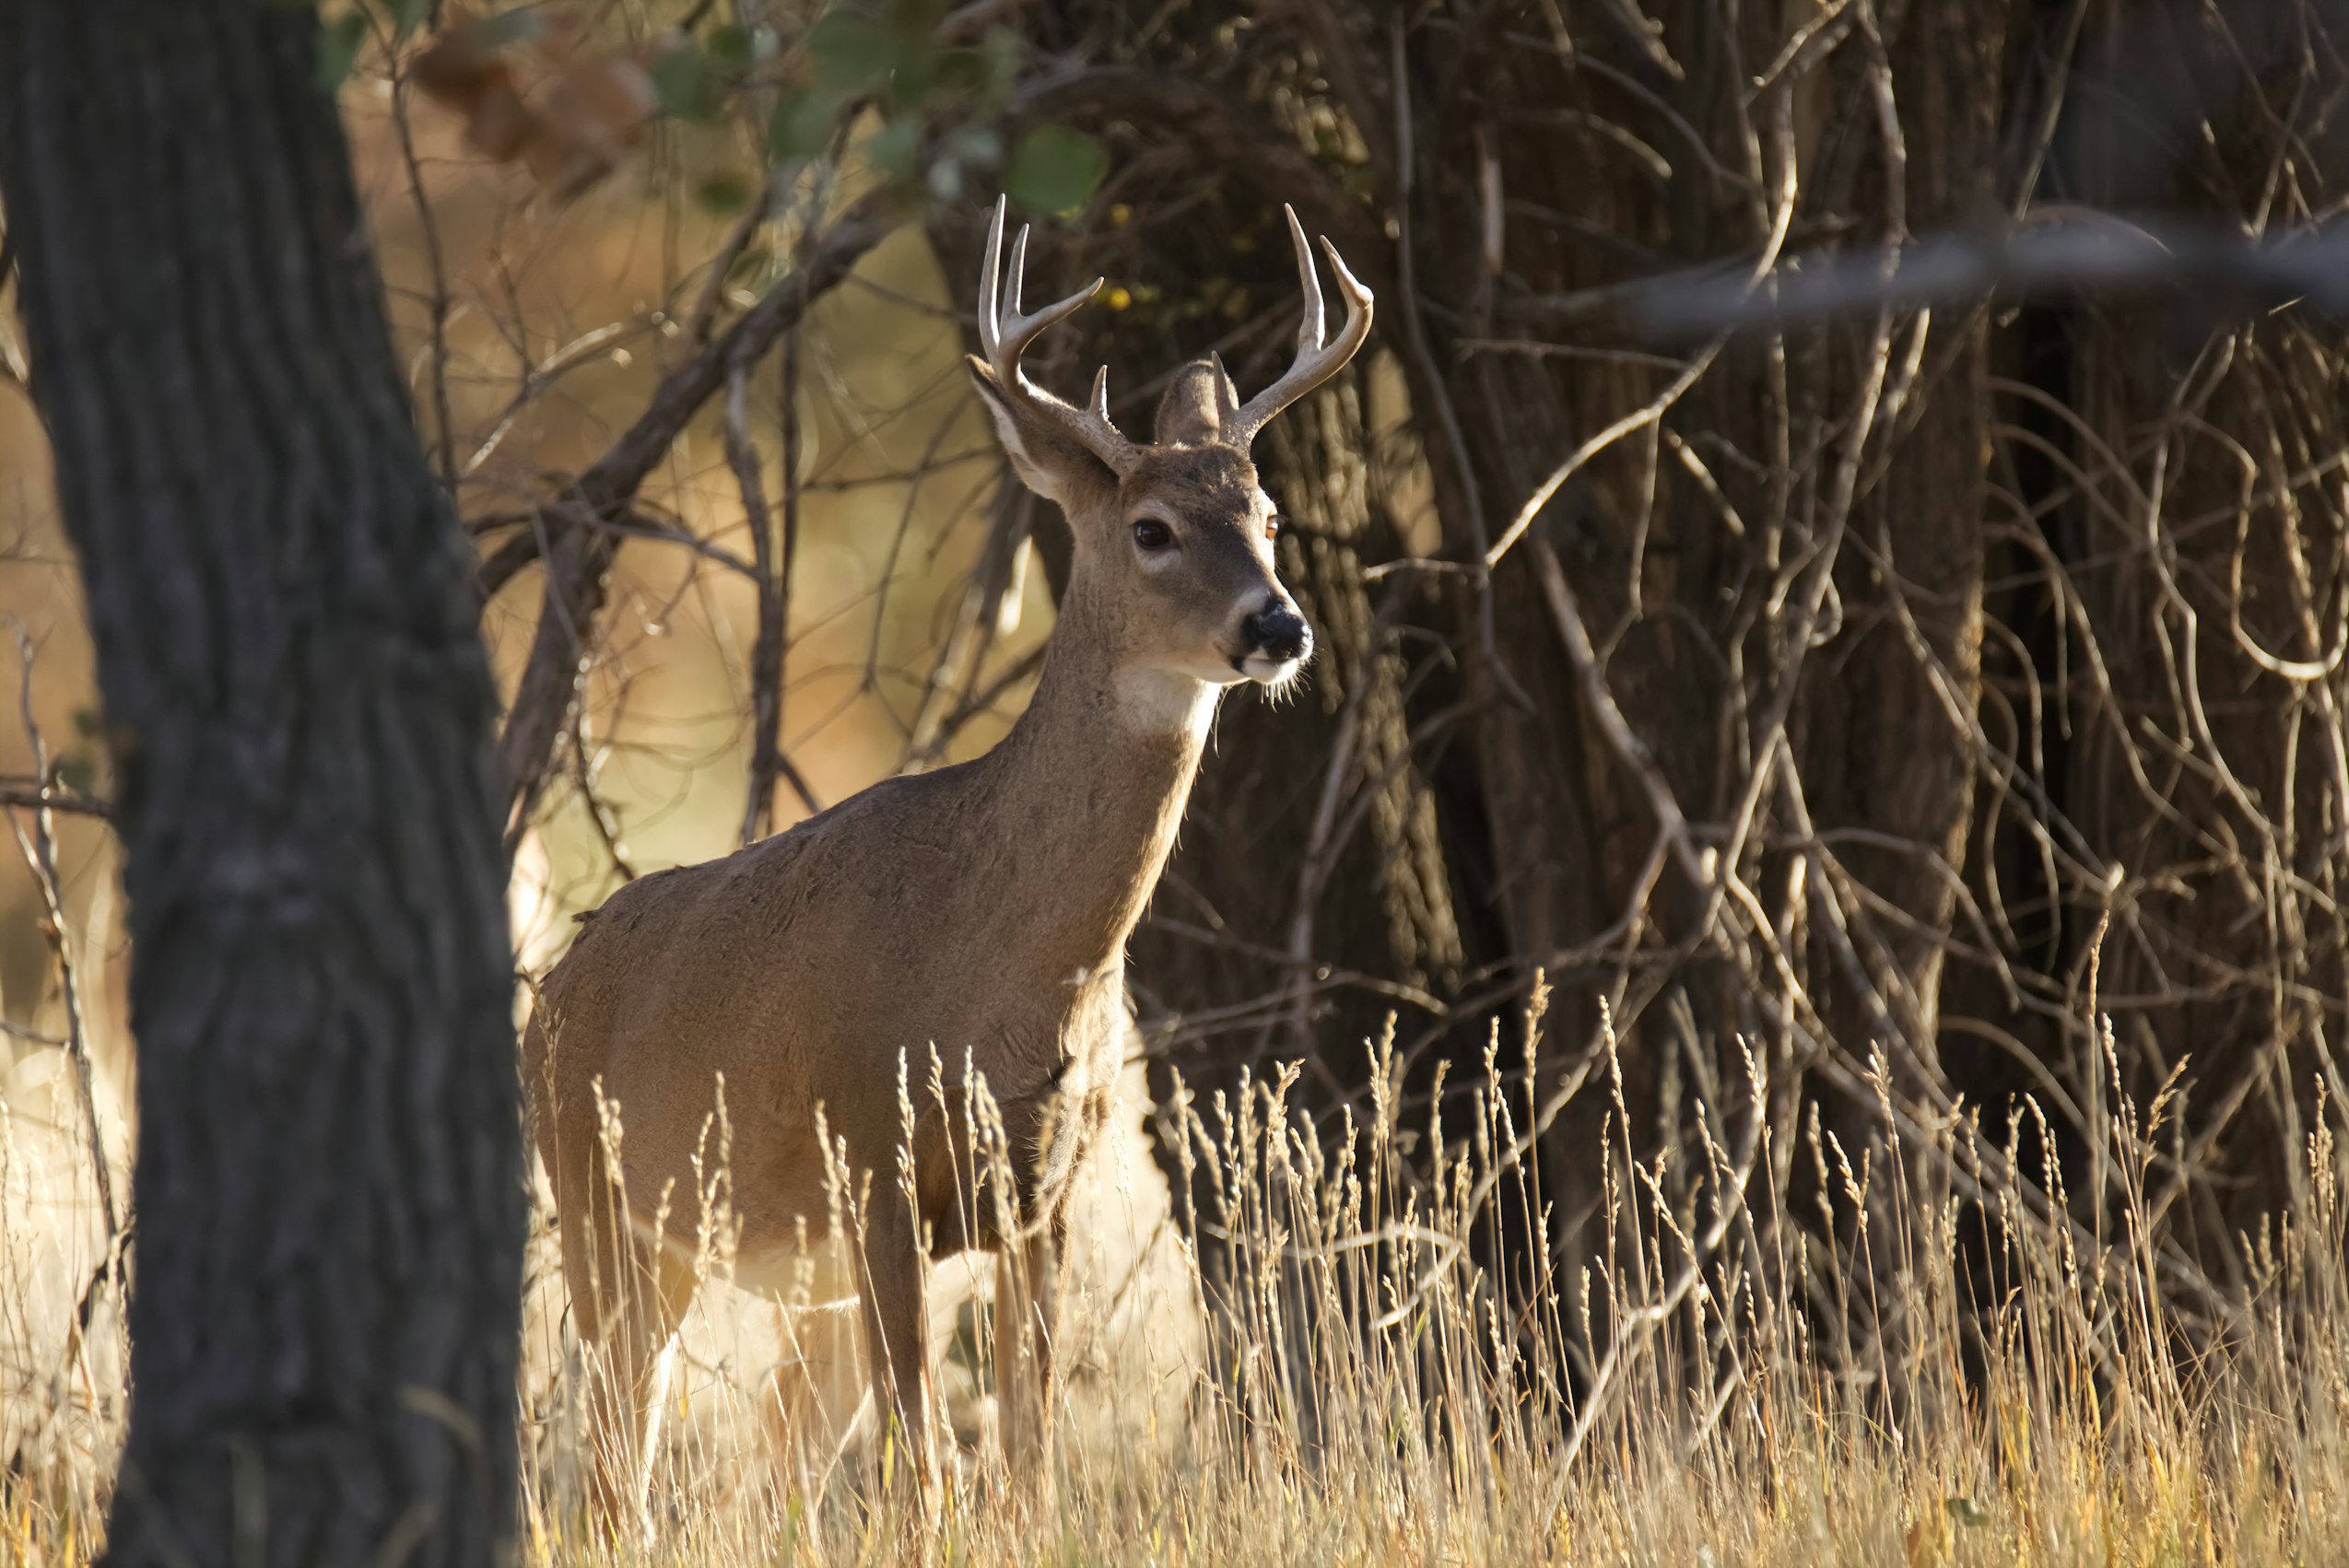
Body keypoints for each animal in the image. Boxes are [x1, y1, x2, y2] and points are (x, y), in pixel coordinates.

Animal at [523, 195, 1371, 1530]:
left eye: (1271, 519)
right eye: (1151, 528)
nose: (1278, 623)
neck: (1009, 972)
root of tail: (546, 993)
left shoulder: (1044, 1199)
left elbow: (1026, 1461)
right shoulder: (870, 1158)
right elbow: (924, 1469)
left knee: (743, 1458)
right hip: (611, 1211)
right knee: (615, 1465)